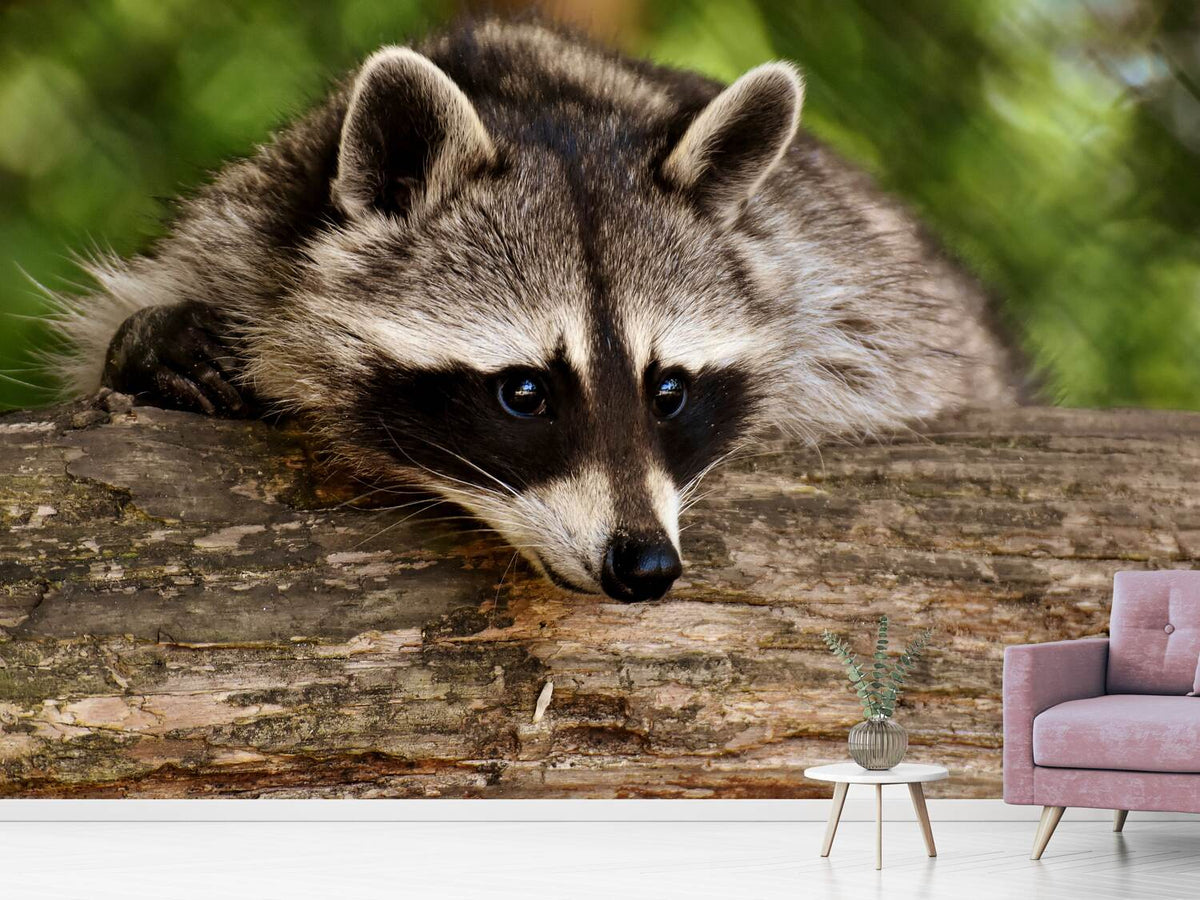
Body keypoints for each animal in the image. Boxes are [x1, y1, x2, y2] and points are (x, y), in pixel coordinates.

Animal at [53, 18, 1020, 602]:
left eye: (669, 391)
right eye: (524, 393)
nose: (645, 567)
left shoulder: (844, 287)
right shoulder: (239, 228)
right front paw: (151, 345)